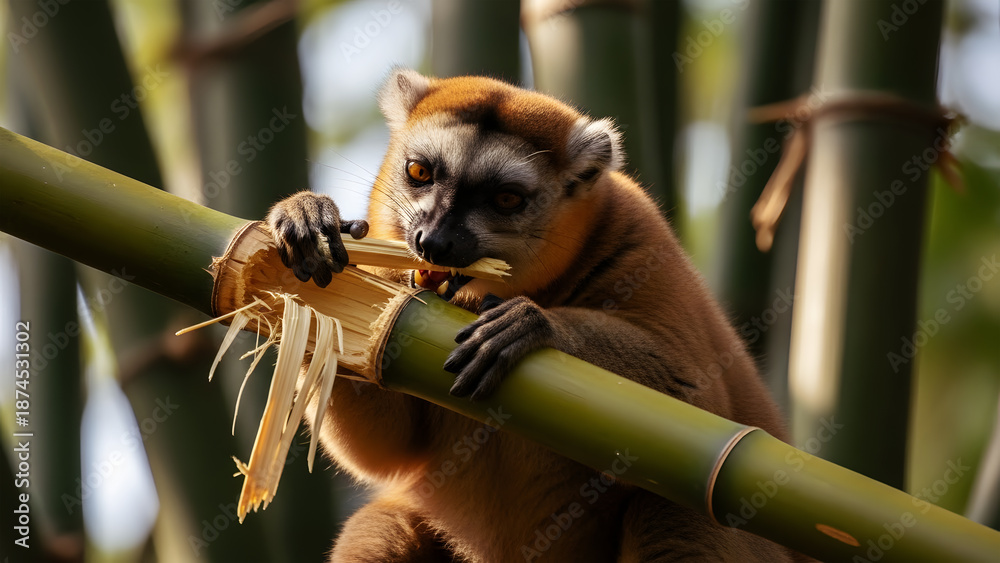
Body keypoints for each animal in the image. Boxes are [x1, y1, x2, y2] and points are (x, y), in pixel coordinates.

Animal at [267, 69, 797, 562]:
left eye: (506, 199)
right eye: (419, 172)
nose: (434, 240)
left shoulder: (641, 241)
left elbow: (695, 395)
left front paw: (532, 324)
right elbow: (384, 441)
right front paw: (308, 219)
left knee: (680, 513)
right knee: (380, 529)